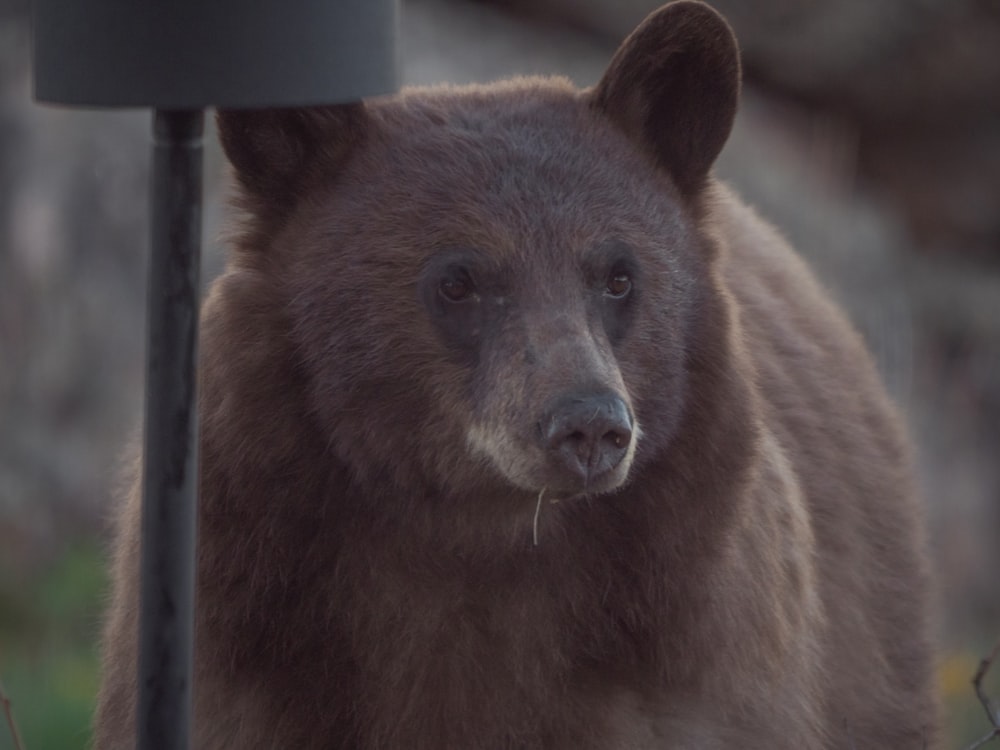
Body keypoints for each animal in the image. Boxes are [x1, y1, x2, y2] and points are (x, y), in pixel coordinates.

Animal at [94, 1, 936, 750]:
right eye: (458, 280)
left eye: (619, 276)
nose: (590, 425)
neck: (480, 549)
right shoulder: (240, 647)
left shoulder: (695, 673)